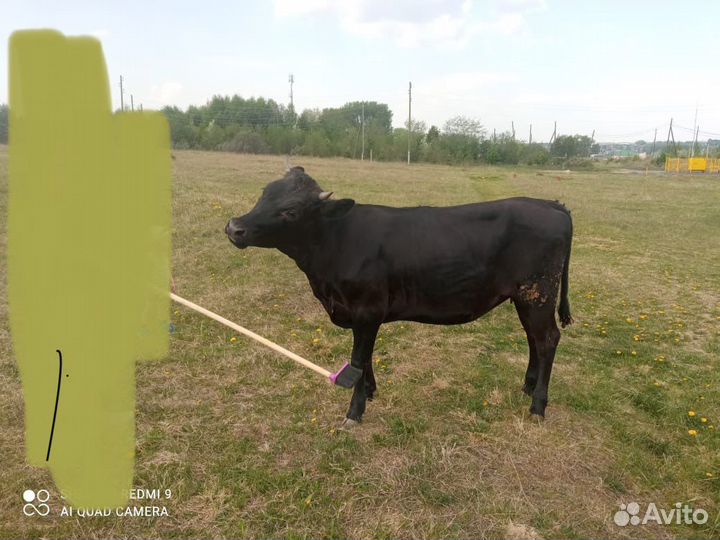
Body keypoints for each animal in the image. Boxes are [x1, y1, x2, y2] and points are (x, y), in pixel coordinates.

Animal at [225, 167, 573, 427]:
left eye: (291, 211)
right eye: (264, 193)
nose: (234, 227)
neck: (336, 242)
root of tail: (551, 204)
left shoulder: (367, 309)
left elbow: (358, 359)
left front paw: (354, 412)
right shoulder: (357, 314)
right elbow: (364, 359)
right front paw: (370, 391)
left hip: (538, 293)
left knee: (547, 339)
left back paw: (538, 405)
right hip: (526, 297)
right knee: (533, 338)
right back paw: (528, 386)